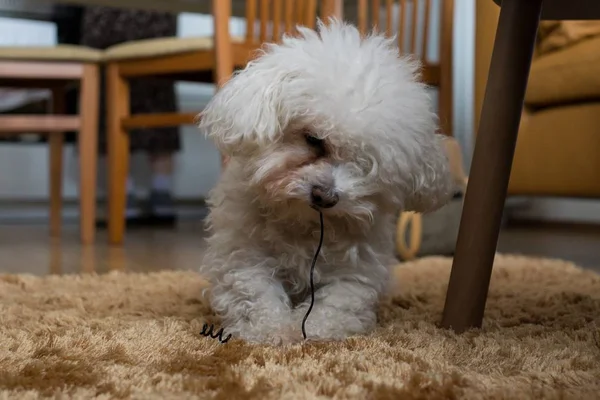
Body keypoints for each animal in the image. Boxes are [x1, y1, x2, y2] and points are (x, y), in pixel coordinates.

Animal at [199, 19, 452, 344]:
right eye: (314, 139)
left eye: (367, 165)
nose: (325, 196)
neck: (304, 227)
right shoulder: (241, 257)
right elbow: (255, 296)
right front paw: (274, 331)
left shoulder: (356, 273)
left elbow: (334, 306)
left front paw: (309, 330)